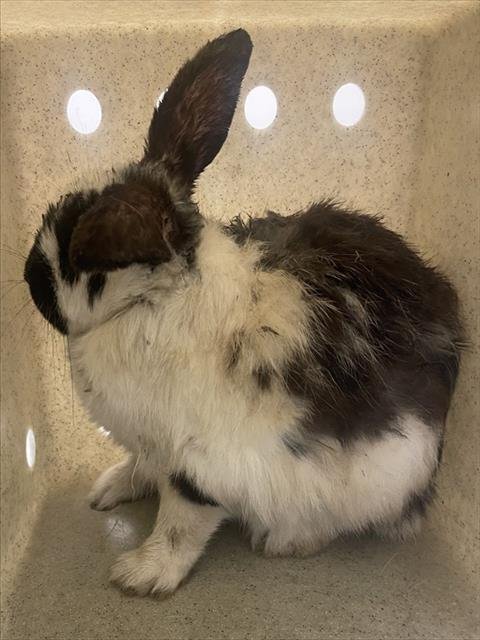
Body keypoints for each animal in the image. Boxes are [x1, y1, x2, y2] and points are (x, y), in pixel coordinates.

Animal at [24, 29, 463, 597]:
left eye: (88, 260)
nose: (29, 279)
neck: (152, 303)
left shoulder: (201, 465)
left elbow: (180, 524)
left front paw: (140, 576)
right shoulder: (147, 443)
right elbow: (139, 466)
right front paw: (107, 491)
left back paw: (284, 542)